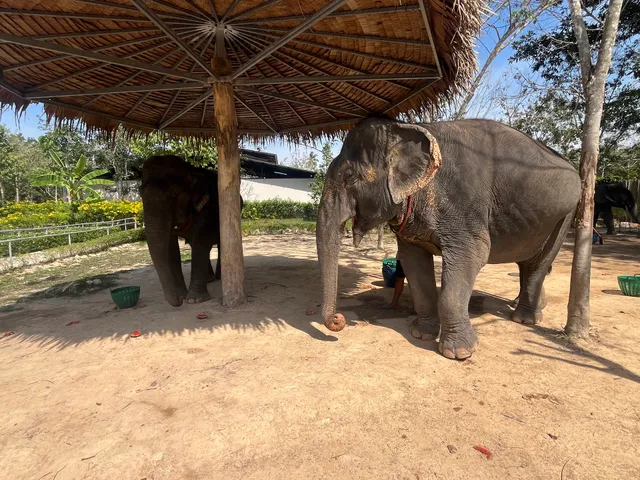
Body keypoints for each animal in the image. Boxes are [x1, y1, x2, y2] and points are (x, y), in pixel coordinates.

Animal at [140, 155, 242, 306]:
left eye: (175, 193)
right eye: (140, 194)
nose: (178, 301)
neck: (190, 169)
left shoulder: (207, 209)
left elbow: (200, 242)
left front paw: (194, 300)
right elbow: (172, 249)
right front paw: (183, 295)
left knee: (218, 244)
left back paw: (218, 277)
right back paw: (209, 279)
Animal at [316, 117, 581, 360]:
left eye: (350, 176)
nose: (338, 320)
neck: (408, 127)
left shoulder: (464, 207)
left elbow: (472, 256)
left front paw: (459, 353)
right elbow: (414, 263)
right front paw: (421, 334)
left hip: (564, 216)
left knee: (538, 264)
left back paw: (525, 319)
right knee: (526, 263)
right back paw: (530, 306)